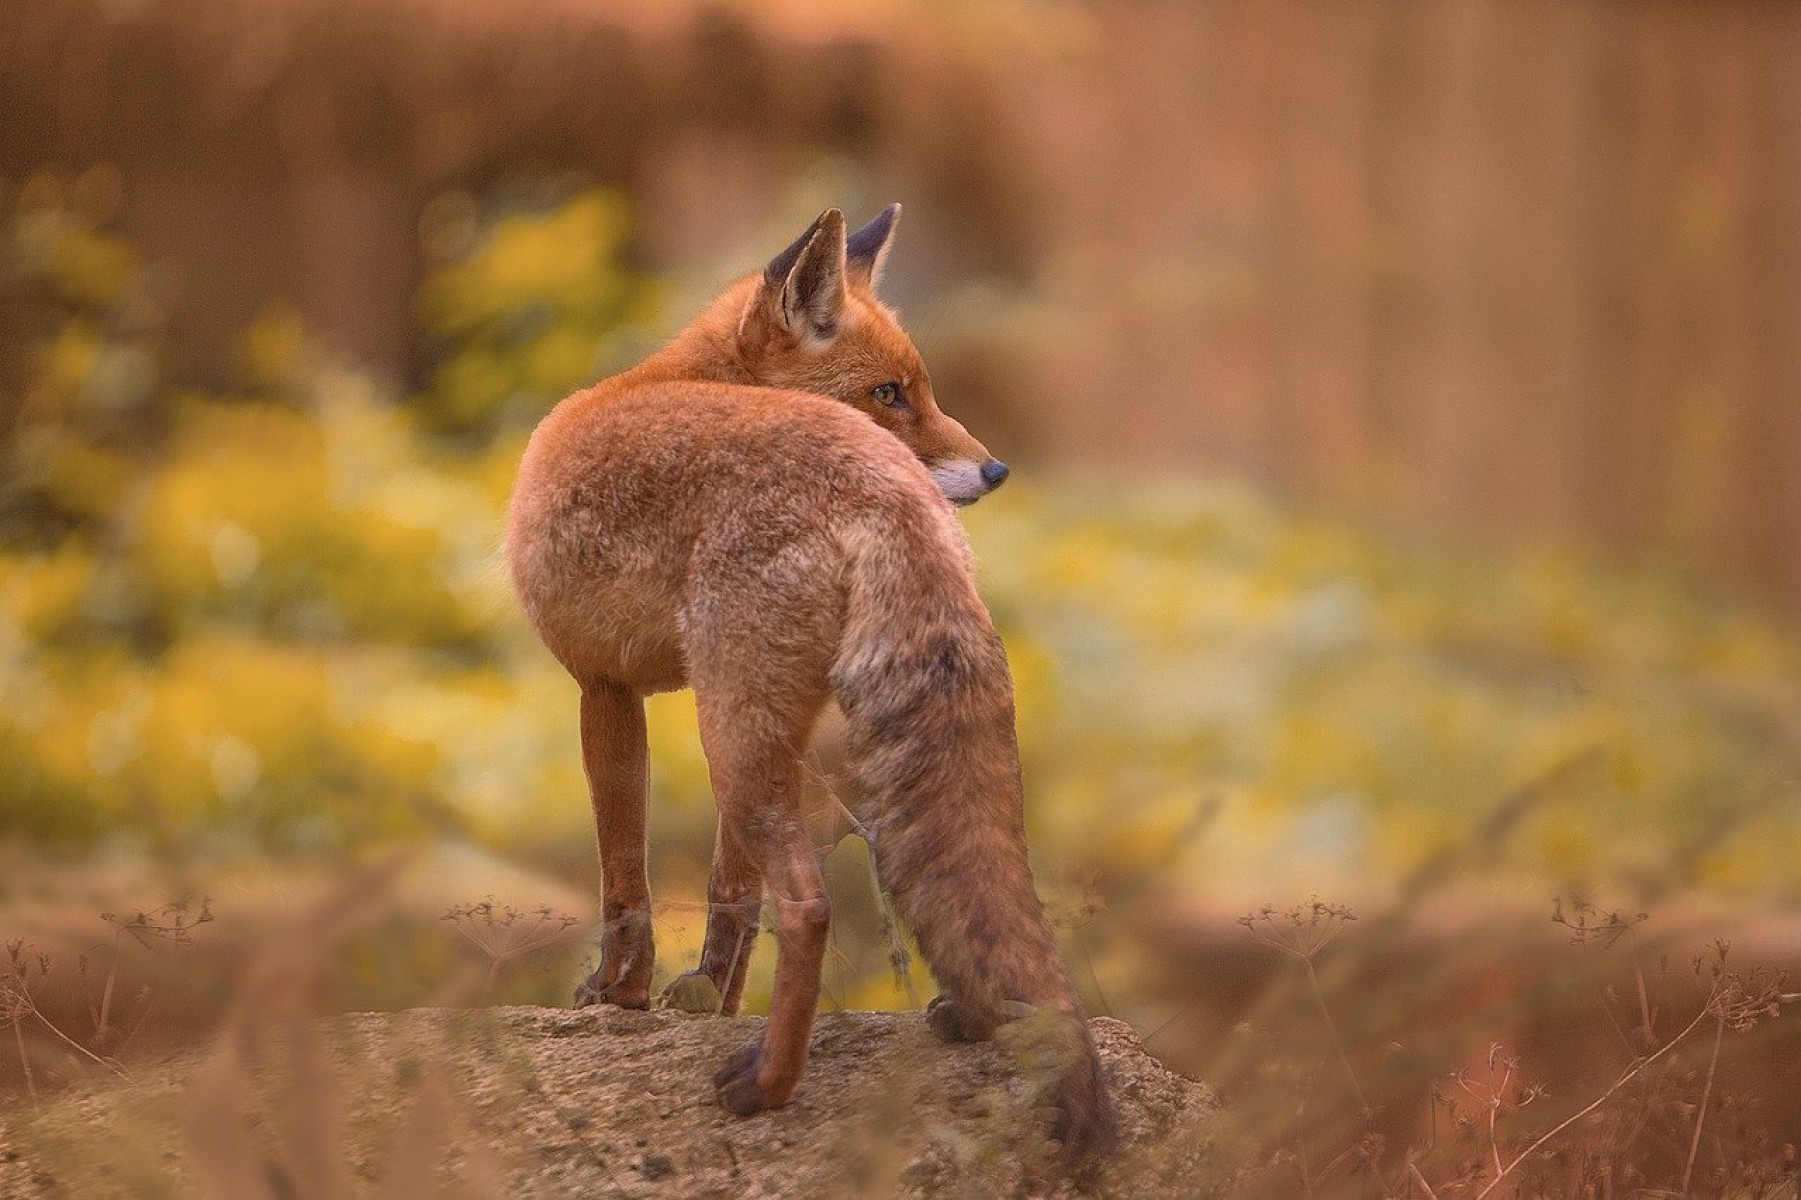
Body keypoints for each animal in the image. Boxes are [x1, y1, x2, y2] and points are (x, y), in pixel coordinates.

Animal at [507, 208, 1116, 1160]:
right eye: (891, 393)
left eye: (919, 390)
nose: (996, 471)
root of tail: (881, 491)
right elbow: (727, 896)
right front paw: (707, 1004)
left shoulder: (602, 687)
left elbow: (624, 883)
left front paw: (622, 996)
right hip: (813, 739)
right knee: (970, 890)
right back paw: (974, 1018)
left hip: (737, 733)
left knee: (807, 907)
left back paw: (768, 1085)